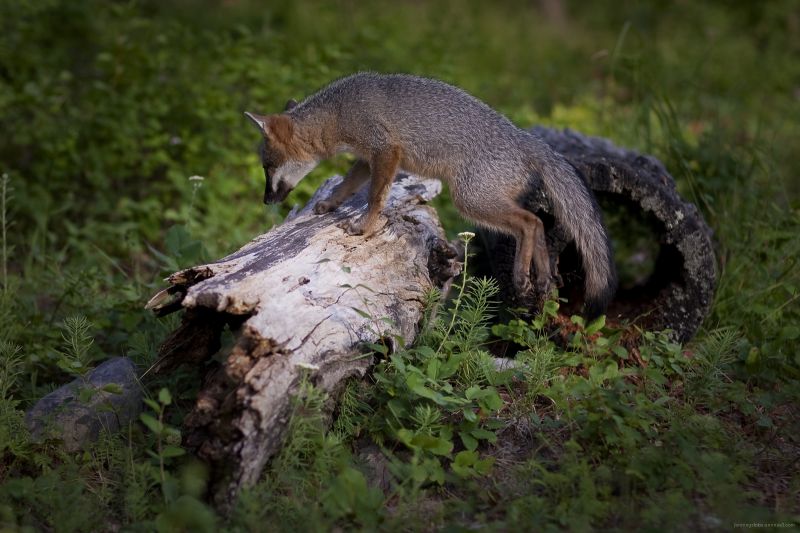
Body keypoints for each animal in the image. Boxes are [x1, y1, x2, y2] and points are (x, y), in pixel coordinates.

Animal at [245, 72, 616, 316]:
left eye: (266, 166)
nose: (265, 201)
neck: (337, 111)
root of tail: (527, 138)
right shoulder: (368, 158)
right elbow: (346, 185)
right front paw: (330, 204)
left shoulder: (385, 151)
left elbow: (375, 197)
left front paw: (364, 227)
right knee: (538, 223)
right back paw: (541, 280)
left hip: (470, 200)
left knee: (530, 222)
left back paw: (521, 277)